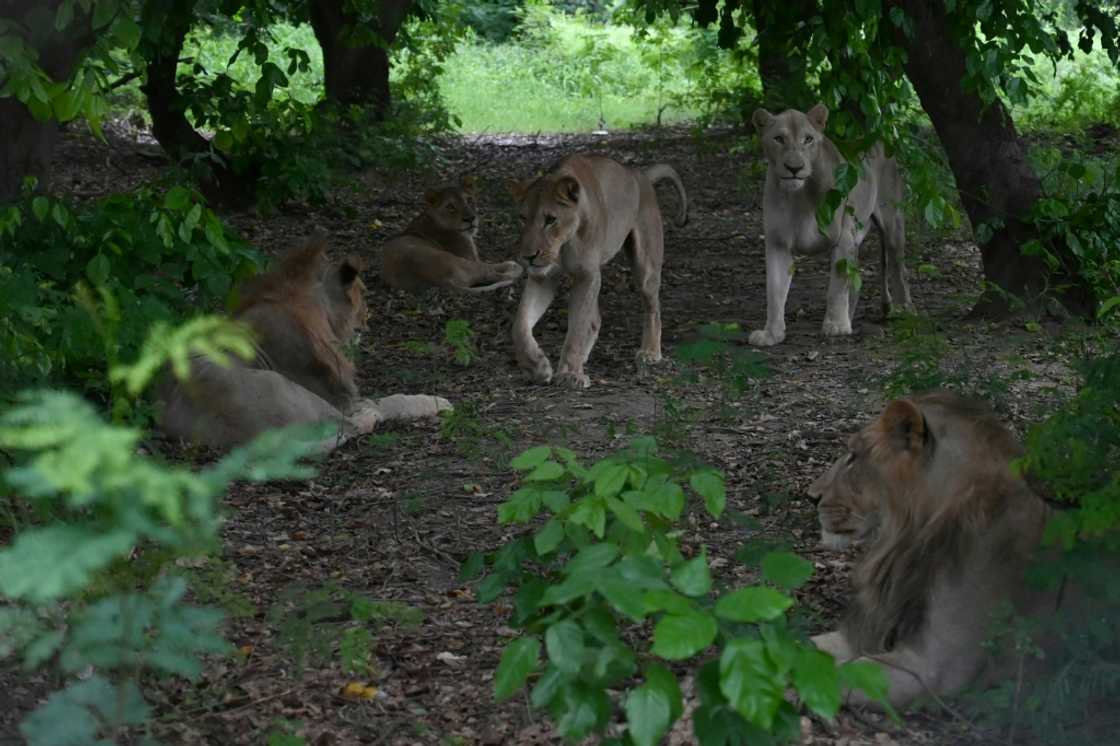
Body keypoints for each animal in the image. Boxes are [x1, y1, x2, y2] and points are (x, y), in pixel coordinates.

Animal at [159, 235, 454, 450]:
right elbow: (390, 400)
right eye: (363, 293)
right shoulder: (341, 398)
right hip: (290, 391)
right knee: (350, 426)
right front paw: (437, 401)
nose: (369, 318)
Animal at [380, 174, 524, 291]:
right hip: (460, 261)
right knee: (490, 273)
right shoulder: (470, 257)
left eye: (469, 200)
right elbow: (489, 265)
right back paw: (514, 268)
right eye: (450, 207)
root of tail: (441, 282)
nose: (470, 218)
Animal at [506, 155, 680, 389]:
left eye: (550, 219)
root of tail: (638, 173)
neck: (563, 244)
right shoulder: (542, 277)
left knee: (653, 308)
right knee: (596, 318)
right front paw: (536, 366)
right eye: (523, 218)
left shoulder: (587, 275)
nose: (528, 256)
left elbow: (578, 326)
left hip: (646, 267)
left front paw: (570, 374)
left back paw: (650, 352)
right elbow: (520, 325)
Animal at [743, 103, 909, 347]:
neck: (799, 196)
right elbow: (774, 291)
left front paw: (836, 326)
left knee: (899, 270)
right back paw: (851, 318)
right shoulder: (777, 243)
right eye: (779, 139)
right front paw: (772, 334)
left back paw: (905, 311)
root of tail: (879, 138)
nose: (794, 167)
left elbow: (837, 286)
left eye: (808, 139)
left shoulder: (843, 237)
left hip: (892, 224)